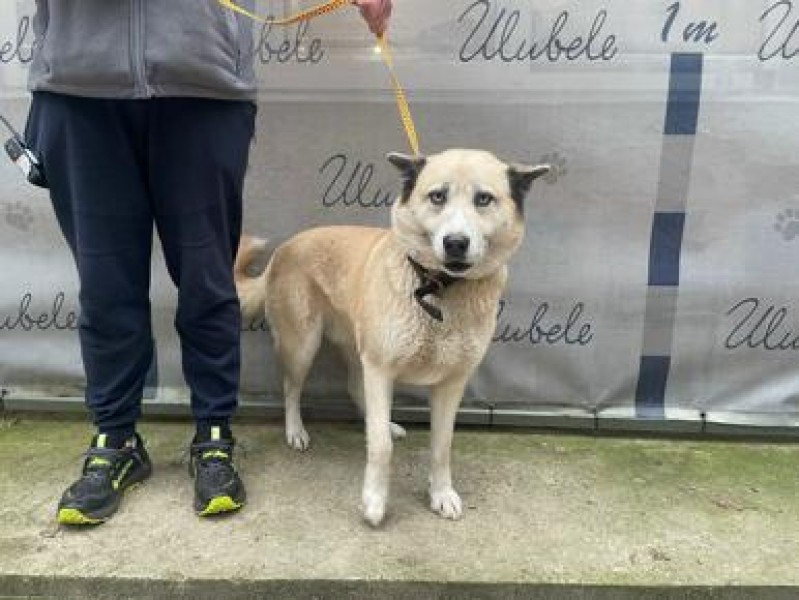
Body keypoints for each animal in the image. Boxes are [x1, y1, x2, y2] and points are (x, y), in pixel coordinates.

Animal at [235, 149, 549, 526]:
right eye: (437, 196)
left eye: (483, 199)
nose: (455, 243)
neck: (437, 289)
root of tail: (287, 246)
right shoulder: (381, 369)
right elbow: (380, 447)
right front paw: (374, 500)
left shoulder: (450, 383)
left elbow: (442, 446)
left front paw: (441, 494)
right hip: (303, 346)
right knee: (291, 388)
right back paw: (296, 431)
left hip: (357, 350)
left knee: (355, 389)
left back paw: (384, 422)